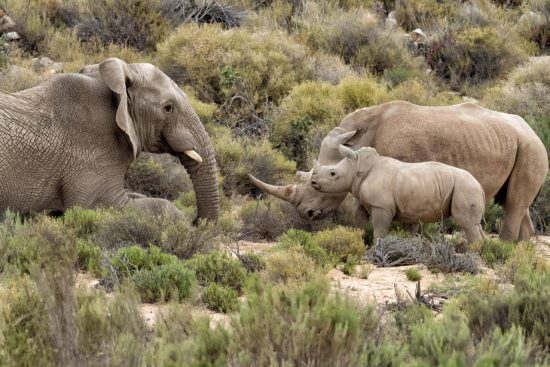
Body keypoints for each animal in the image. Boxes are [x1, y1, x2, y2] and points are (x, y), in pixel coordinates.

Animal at [310, 146, 488, 244]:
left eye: (332, 173)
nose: (313, 181)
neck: (359, 168)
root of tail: (480, 185)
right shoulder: (409, 210)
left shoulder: (381, 207)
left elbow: (379, 230)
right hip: (465, 187)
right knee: (475, 225)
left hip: (465, 187)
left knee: (467, 224)